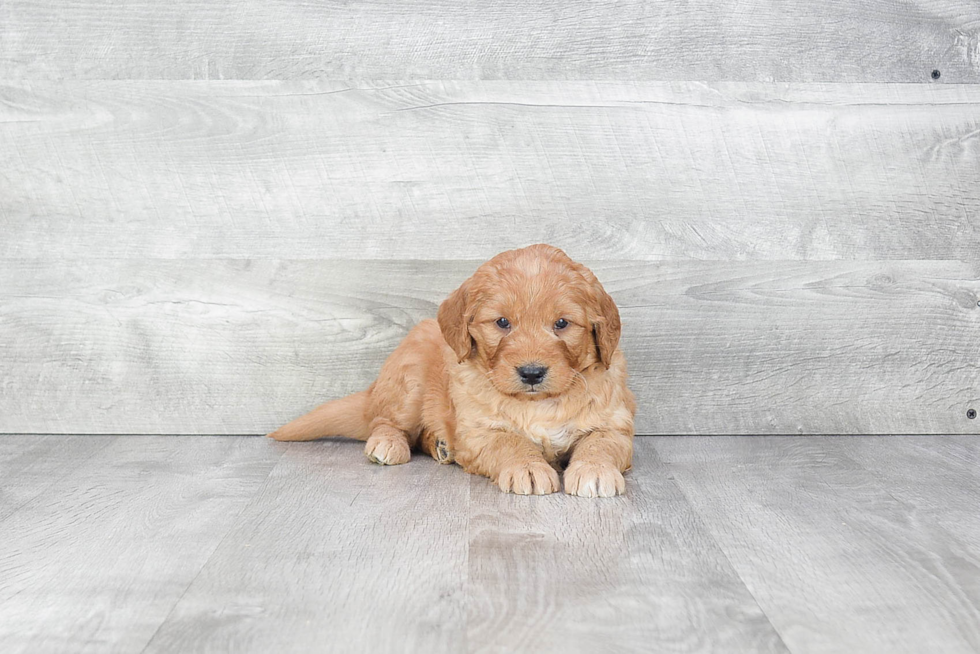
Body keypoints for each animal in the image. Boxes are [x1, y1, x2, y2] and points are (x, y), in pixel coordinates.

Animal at [268, 245, 636, 498]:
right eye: (502, 322)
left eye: (562, 323)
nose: (531, 373)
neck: (538, 403)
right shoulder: (479, 432)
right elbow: (510, 443)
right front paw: (529, 467)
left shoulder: (614, 424)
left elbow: (600, 443)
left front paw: (595, 470)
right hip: (408, 381)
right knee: (384, 422)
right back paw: (388, 444)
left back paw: (441, 445)